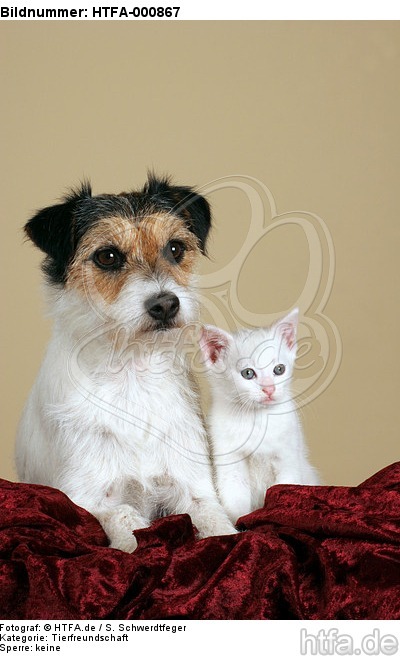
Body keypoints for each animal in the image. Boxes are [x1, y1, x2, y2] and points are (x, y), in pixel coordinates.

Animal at [16, 173, 238, 548]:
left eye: (175, 248)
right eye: (107, 256)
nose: (165, 304)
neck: (133, 373)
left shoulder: (195, 490)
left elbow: (216, 521)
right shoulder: (86, 499)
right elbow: (127, 522)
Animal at [200, 310, 322, 524]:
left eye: (279, 369)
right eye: (248, 373)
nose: (269, 389)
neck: (257, 420)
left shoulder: (288, 459)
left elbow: (282, 491)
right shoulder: (229, 461)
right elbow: (235, 500)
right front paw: (240, 525)